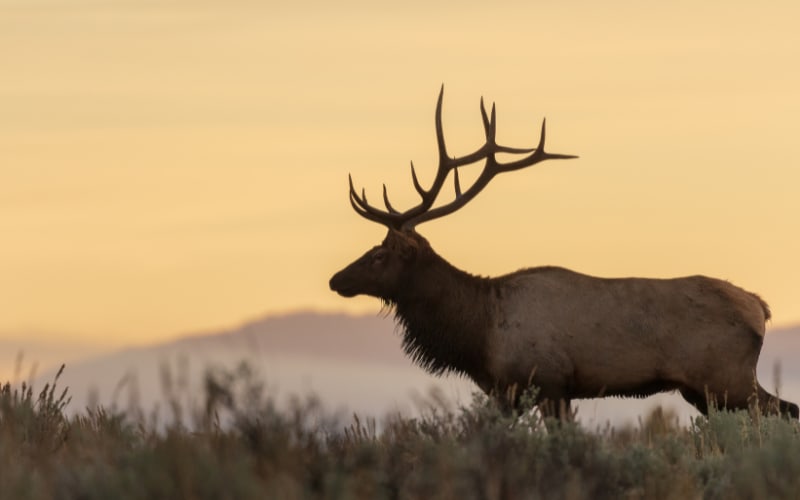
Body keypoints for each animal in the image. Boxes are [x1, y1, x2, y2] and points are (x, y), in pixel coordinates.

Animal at [329, 87, 799, 421]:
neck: (478, 333)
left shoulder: (547, 380)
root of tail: (761, 307)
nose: (335, 279)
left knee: (782, 412)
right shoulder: (509, 392)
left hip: (727, 379)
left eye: (380, 254)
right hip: (704, 390)